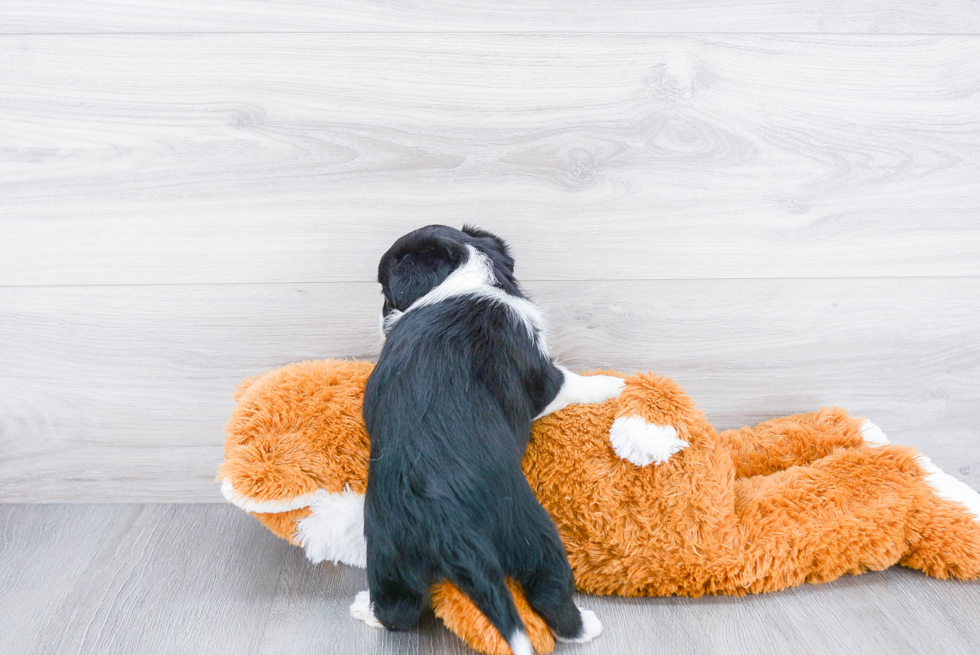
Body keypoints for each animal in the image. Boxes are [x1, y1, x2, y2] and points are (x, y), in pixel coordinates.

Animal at [352, 227, 624, 655]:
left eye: (385, 294)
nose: (382, 319)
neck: (468, 277)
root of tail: (449, 523)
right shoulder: (543, 378)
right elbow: (572, 381)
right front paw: (614, 384)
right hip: (533, 535)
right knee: (551, 594)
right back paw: (586, 627)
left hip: (389, 551)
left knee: (399, 609)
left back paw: (366, 608)